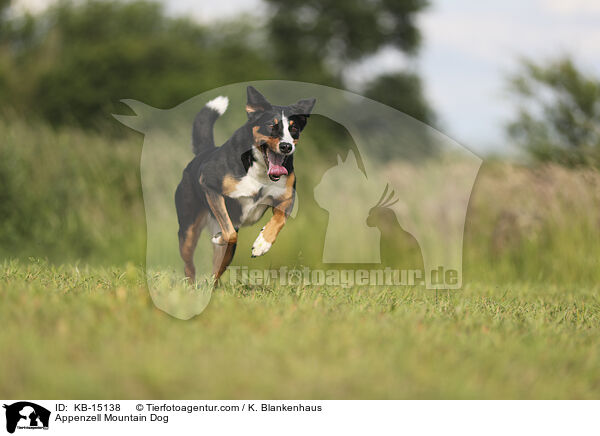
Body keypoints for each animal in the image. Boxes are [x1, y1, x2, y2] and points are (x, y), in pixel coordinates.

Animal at [176, 86, 316, 282]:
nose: (286, 146)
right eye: (271, 125)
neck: (260, 171)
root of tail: (204, 153)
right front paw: (219, 237)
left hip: (225, 252)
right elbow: (230, 234)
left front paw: (262, 244)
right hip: (188, 229)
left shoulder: (287, 198)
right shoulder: (210, 185)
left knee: (215, 272)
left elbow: (278, 220)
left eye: (293, 128)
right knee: (189, 265)